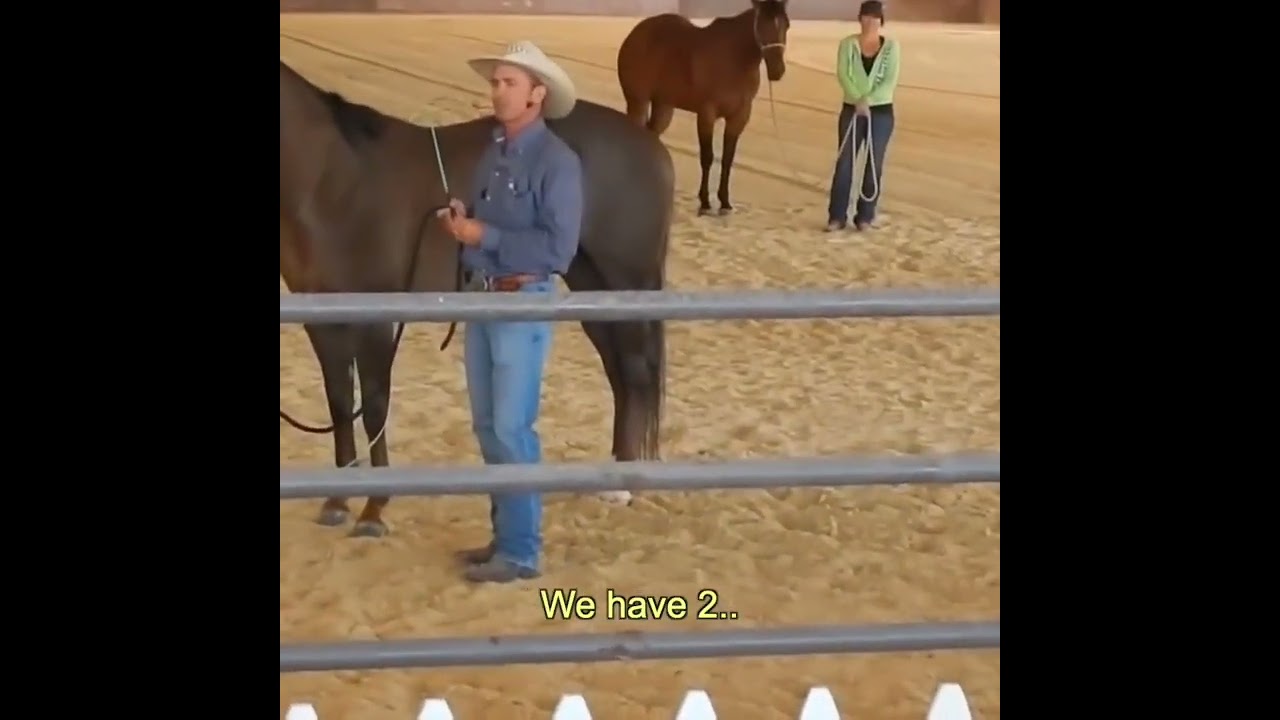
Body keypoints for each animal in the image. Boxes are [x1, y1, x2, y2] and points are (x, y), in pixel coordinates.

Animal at [280, 60, 674, 537]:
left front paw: (374, 509)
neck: (334, 182)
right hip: (591, 284)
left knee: (634, 371)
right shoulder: (322, 319)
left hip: (624, 281)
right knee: (619, 373)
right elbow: (339, 402)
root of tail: (651, 148)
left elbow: (373, 405)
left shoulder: (376, 318)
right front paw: (337, 501)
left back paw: (621, 487)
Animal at [616, 0, 790, 216]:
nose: (777, 70)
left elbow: (727, 159)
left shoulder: (739, 117)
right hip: (637, 101)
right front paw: (705, 202)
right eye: (762, 24)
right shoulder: (707, 113)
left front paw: (725, 202)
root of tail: (635, 34)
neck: (733, 58)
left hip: (664, 107)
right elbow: (707, 157)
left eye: (786, 25)